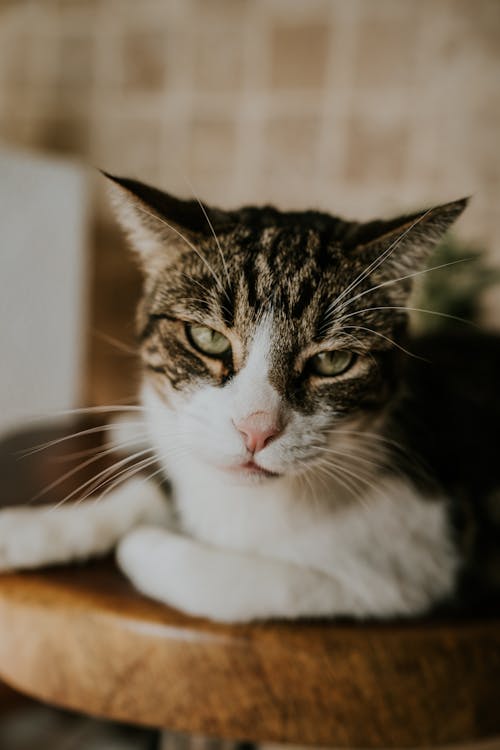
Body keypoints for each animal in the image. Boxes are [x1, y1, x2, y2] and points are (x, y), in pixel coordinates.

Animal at [0, 176, 500, 624]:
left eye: (333, 361)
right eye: (207, 338)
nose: (255, 429)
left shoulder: (412, 570)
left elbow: (253, 584)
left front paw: (144, 545)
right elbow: (147, 490)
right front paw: (27, 530)